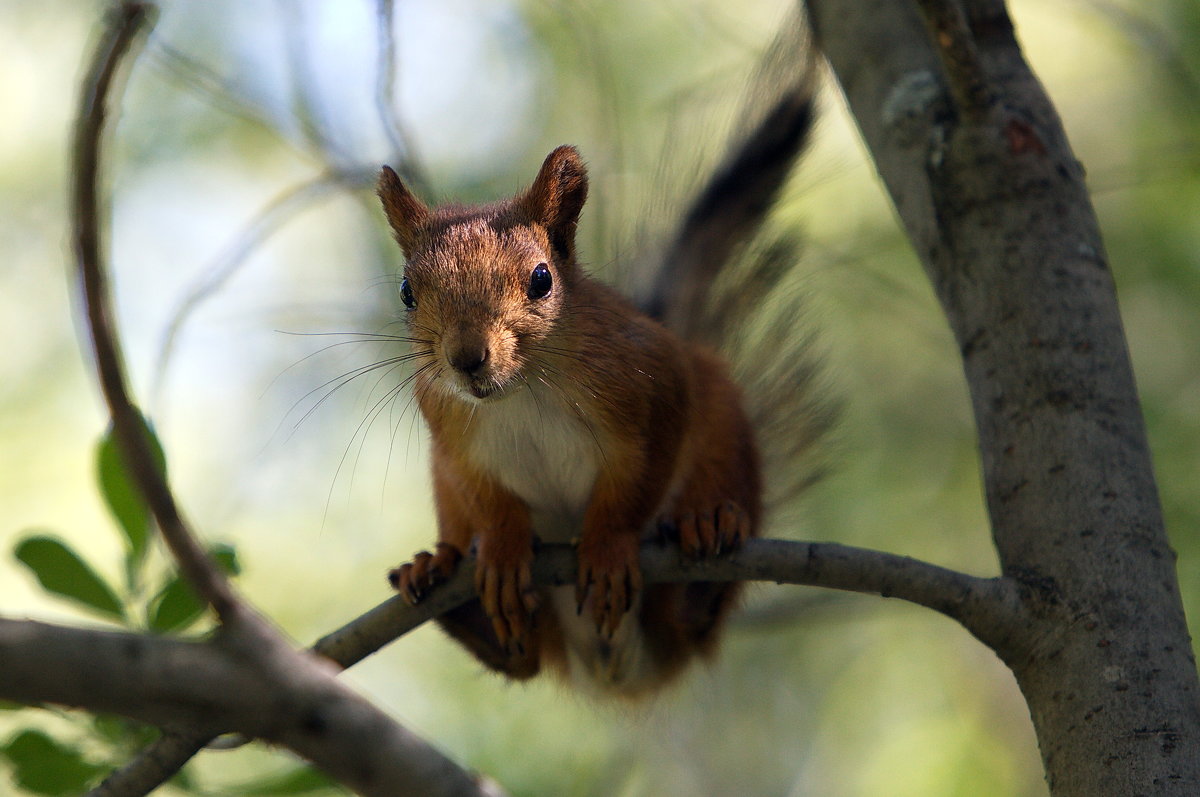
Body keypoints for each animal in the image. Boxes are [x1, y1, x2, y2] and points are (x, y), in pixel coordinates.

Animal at [379, 146, 763, 696]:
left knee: (690, 620)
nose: (466, 359)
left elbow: (639, 482)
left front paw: (606, 549)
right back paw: (442, 577)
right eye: (407, 291)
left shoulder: (653, 382)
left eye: (542, 280)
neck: (520, 392)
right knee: (521, 659)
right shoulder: (449, 438)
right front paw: (502, 552)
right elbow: (487, 502)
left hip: (724, 426)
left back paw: (707, 529)